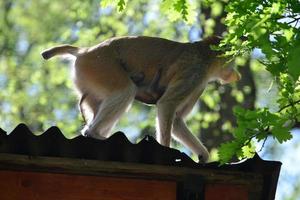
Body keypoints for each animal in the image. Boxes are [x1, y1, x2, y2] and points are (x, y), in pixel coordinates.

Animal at [41, 35, 239, 162]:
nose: (235, 72)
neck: (204, 54)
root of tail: (85, 51)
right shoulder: (195, 72)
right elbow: (166, 105)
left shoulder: (199, 84)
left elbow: (176, 120)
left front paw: (203, 156)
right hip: (100, 66)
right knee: (126, 91)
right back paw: (94, 133)